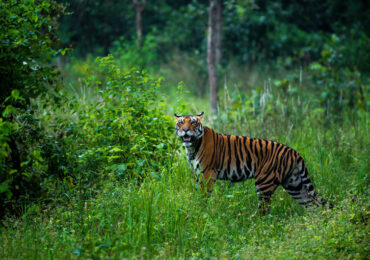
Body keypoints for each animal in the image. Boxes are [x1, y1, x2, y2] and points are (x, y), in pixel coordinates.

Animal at [175, 111, 330, 215]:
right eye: (181, 122)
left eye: (193, 122)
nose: (185, 130)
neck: (192, 147)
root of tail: (294, 152)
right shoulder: (197, 174)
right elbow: (197, 192)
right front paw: (196, 207)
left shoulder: (207, 173)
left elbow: (204, 194)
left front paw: (201, 210)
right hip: (294, 184)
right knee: (310, 204)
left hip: (264, 183)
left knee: (264, 210)